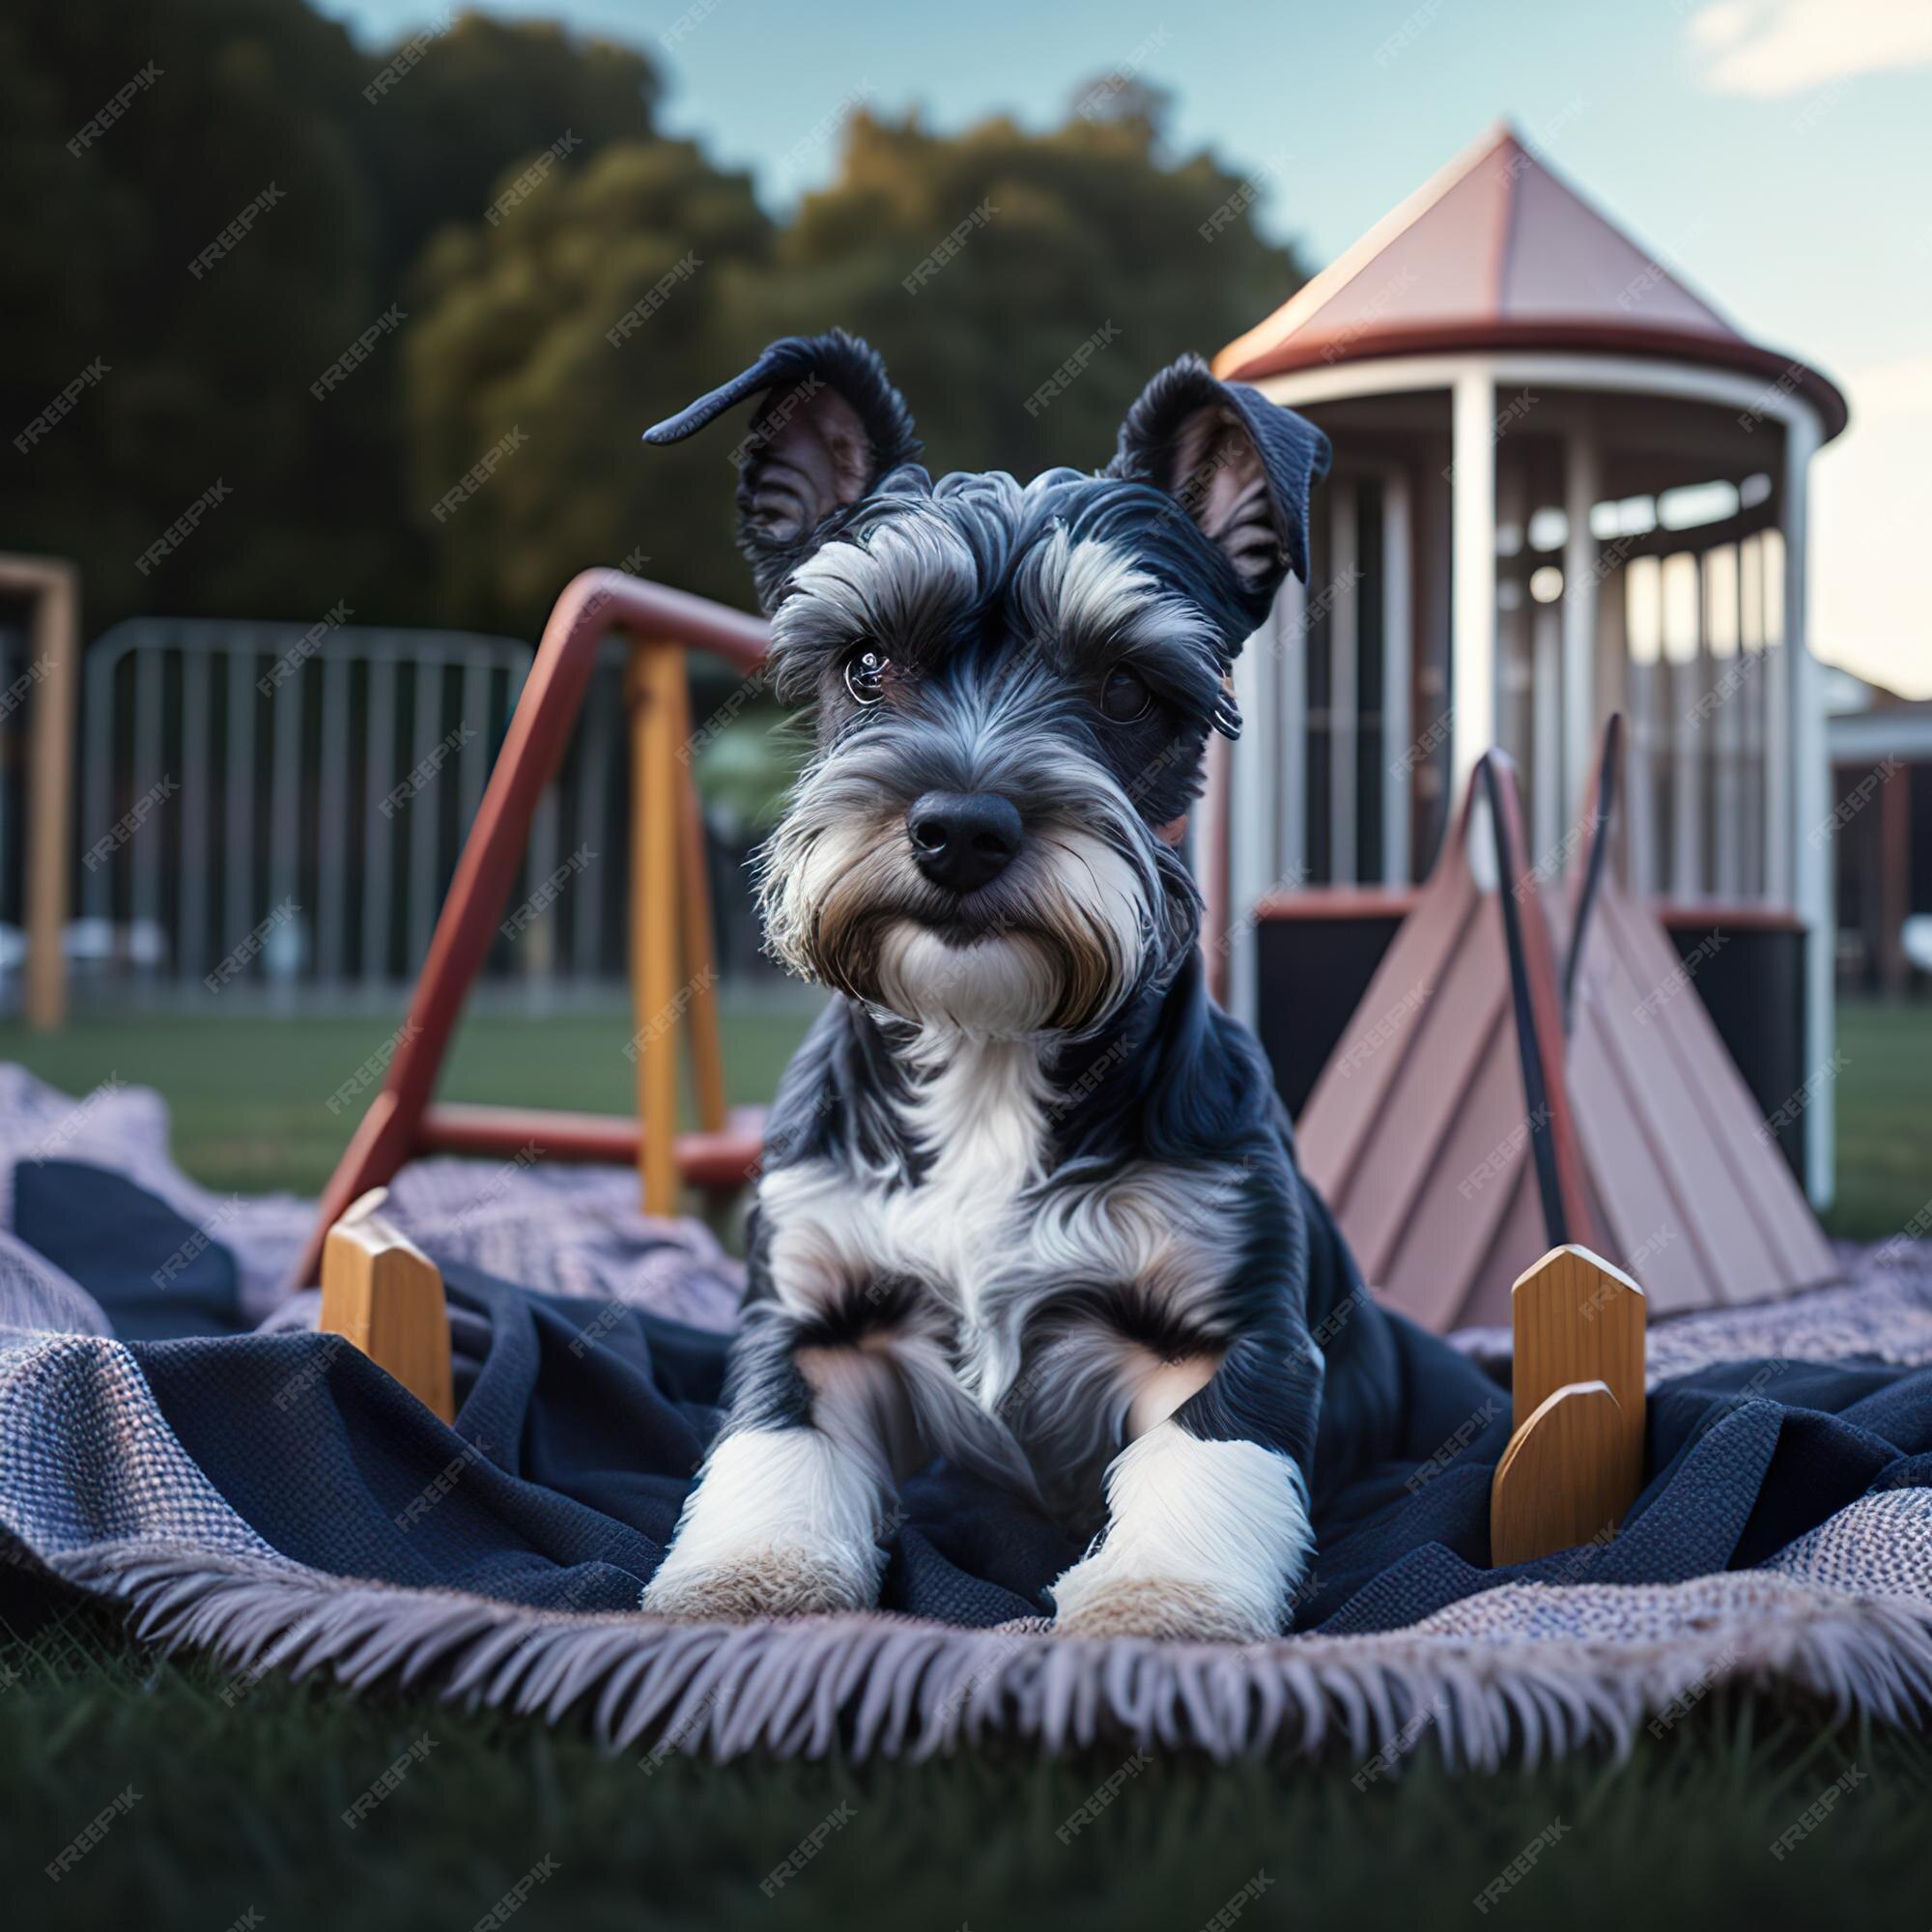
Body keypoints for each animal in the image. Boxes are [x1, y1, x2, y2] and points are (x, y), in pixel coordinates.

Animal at [641, 336, 1383, 1646]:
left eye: (1128, 687)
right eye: (865, 661)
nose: (959, 829)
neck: (989, 1045)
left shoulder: (1234, 1327)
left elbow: (1208, 1465)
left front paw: (1163, 1597)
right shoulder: (808, 1316)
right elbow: (774, 1450)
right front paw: (749, 1575)